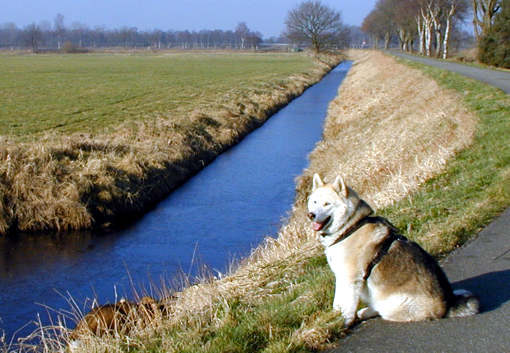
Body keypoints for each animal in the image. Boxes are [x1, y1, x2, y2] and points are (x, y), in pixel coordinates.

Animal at [306, 175, 478, 326]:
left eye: (327, 204)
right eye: (314, 202)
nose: (311, 215)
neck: (350, 226)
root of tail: (447, 304)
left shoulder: (349, 277)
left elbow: (345, 304)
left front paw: (342, 322)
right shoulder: (342, 277)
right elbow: (338, 303)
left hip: (393, 304)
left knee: (383, 310)